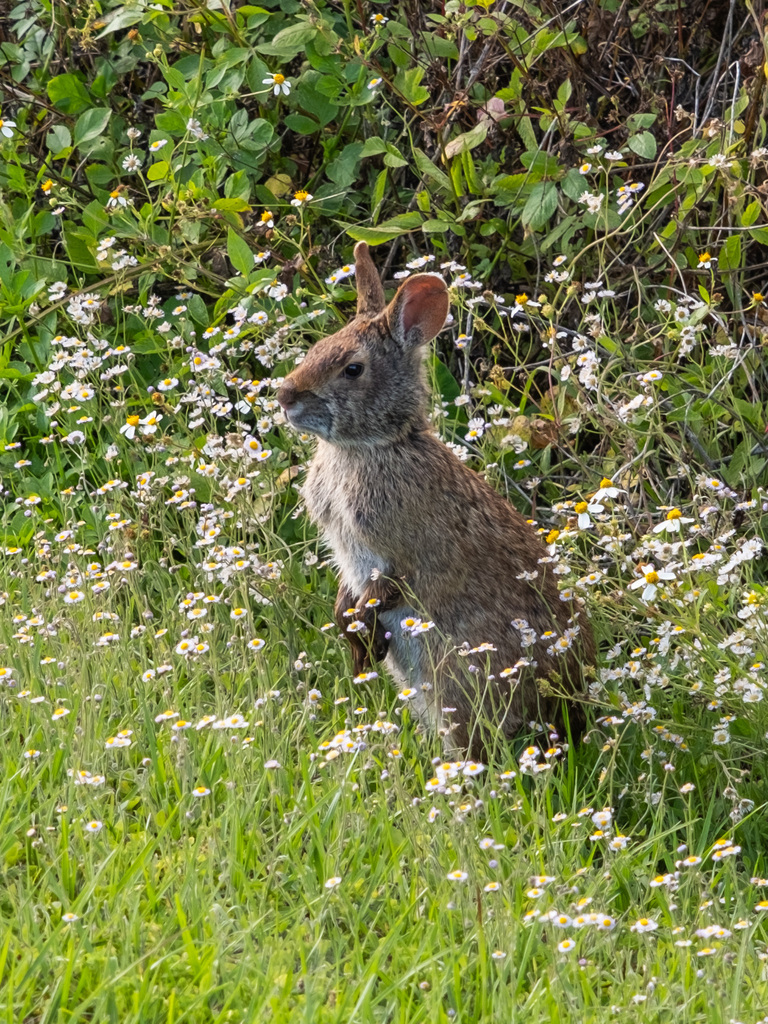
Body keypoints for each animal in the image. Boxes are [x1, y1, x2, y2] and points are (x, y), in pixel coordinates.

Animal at [276, 241, 594, 759]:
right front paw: (352, 634)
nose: (285, 397)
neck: (374, 445)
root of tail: (571, 705)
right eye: (316, 349)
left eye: (352, 369)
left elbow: (387, 586)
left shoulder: (394, 553)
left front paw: (361, 636)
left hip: (457, 679)